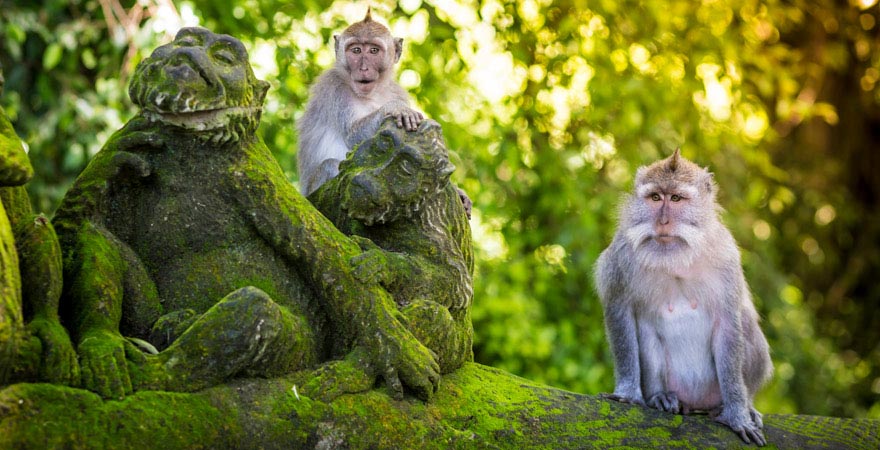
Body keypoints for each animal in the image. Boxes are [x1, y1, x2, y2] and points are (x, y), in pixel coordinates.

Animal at [297, 8, 425, 197]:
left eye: (373, 50)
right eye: (356, 50)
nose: (363, 68)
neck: (372, 94)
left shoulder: (397, 92)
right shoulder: (335, 88)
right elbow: (352, 135)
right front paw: (395, 108)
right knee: (331, 165)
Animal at [594, 149, 773, 446]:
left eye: (676, 198)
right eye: (656, 198)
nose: (663, 222)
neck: (676, 257)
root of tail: (695, 403)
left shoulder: (726, 256)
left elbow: (729, 324)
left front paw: (737, 415)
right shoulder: (621, 257)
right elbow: (620, 312)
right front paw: (629, 393)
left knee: (746, 324)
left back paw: (740, 405)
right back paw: (661, 397)